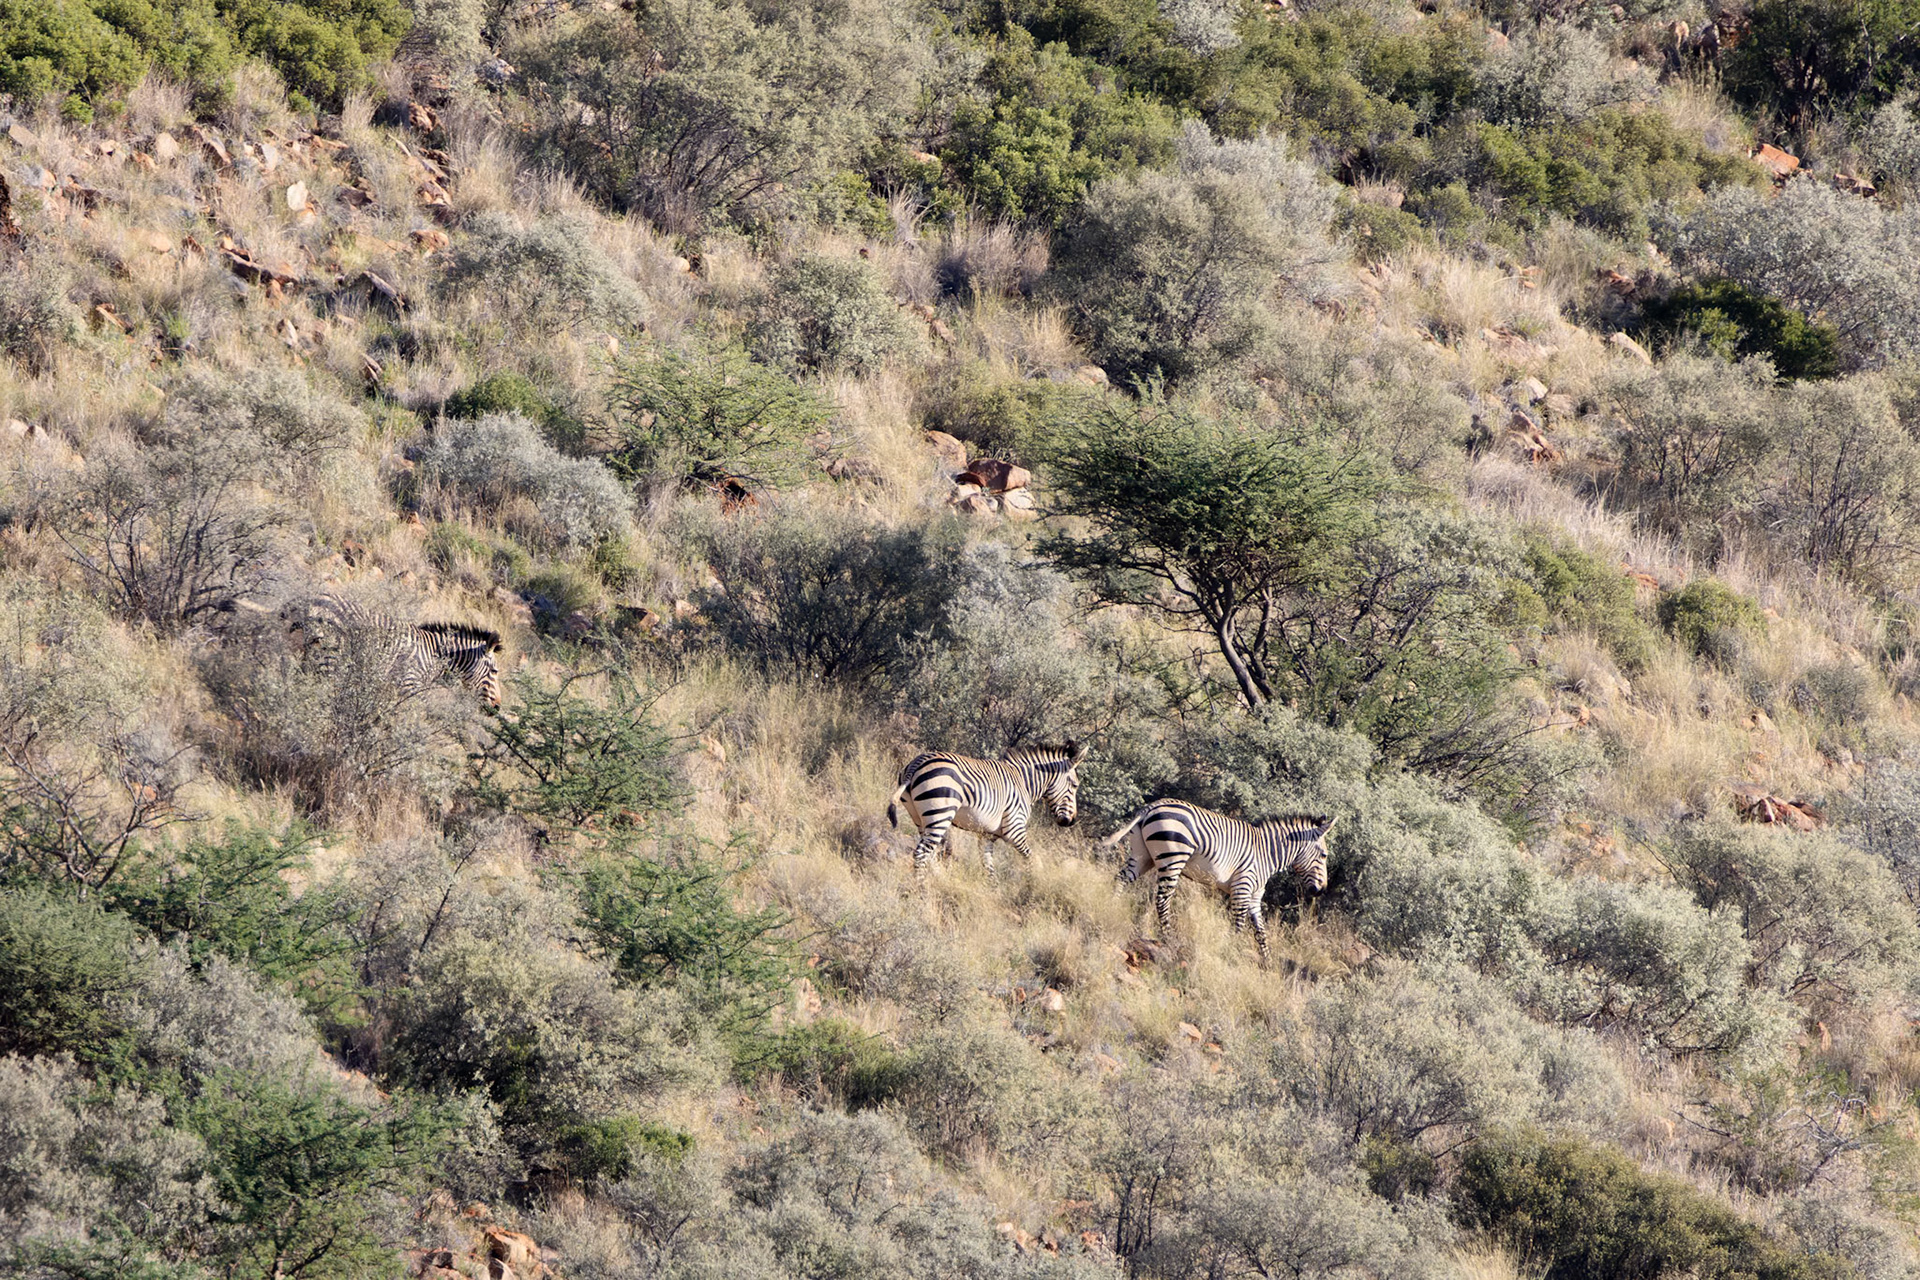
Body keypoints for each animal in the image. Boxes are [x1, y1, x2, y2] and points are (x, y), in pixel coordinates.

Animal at [293, 596, 504, 706]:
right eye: (494, 671)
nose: (497, 708)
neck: (434, 655)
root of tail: (310, 600)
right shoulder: (408, 684)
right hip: (330, 659)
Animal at [886, 742, 1088, 882]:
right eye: (1075, 785)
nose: (1070, 821)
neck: (1025, 784)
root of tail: (917, 763)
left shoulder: (987, 835)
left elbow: (989, 868)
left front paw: (993, 893)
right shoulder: (1014, 829)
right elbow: (1031, 858)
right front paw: (1032, 886)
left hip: (921, 819)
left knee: (930, 854)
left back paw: (938, 881)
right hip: (940, 815)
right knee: (921, 854)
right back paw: (922, 891)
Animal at [1103, 799, 1334, 963]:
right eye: (1324, 855)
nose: (1321, 890)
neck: (1266, 854)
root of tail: (1151, 806)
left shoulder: (1254, 897)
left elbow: (1261, 932)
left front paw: (1267, 963)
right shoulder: (1242, 887)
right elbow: (1239, 925)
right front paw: (1230, 952)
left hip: (1143, 856)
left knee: (1121, 879)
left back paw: (1112, 908)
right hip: (1173, 857)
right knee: (1162, 900)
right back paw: (1168, 936)